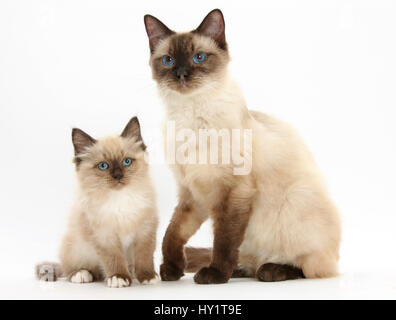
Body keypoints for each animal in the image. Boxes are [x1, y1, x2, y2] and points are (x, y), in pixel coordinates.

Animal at [36, 117, 158, 288]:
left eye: (127, 162)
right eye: (103, 166)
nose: (118, 176)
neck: (119, 199)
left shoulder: (145, 231)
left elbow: (145, 257)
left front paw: (147, 277)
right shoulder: (104, 236)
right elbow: (113, 259)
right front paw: (119, 278)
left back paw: (132, 273)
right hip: (76, 247)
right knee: (73, 269)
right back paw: (82, 274)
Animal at [144, 8, 342, 284]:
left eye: (198, 57)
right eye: (168, 61)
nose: (181, 74)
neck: (190, 114)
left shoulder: (233, 191)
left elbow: (224, 241)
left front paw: (215, 275)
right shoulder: (193, 194)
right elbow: (172, 233)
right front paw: (171, 270)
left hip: (296, 200)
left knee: (308, 268)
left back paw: (270, 270)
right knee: (247, 259)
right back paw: (240, 270)